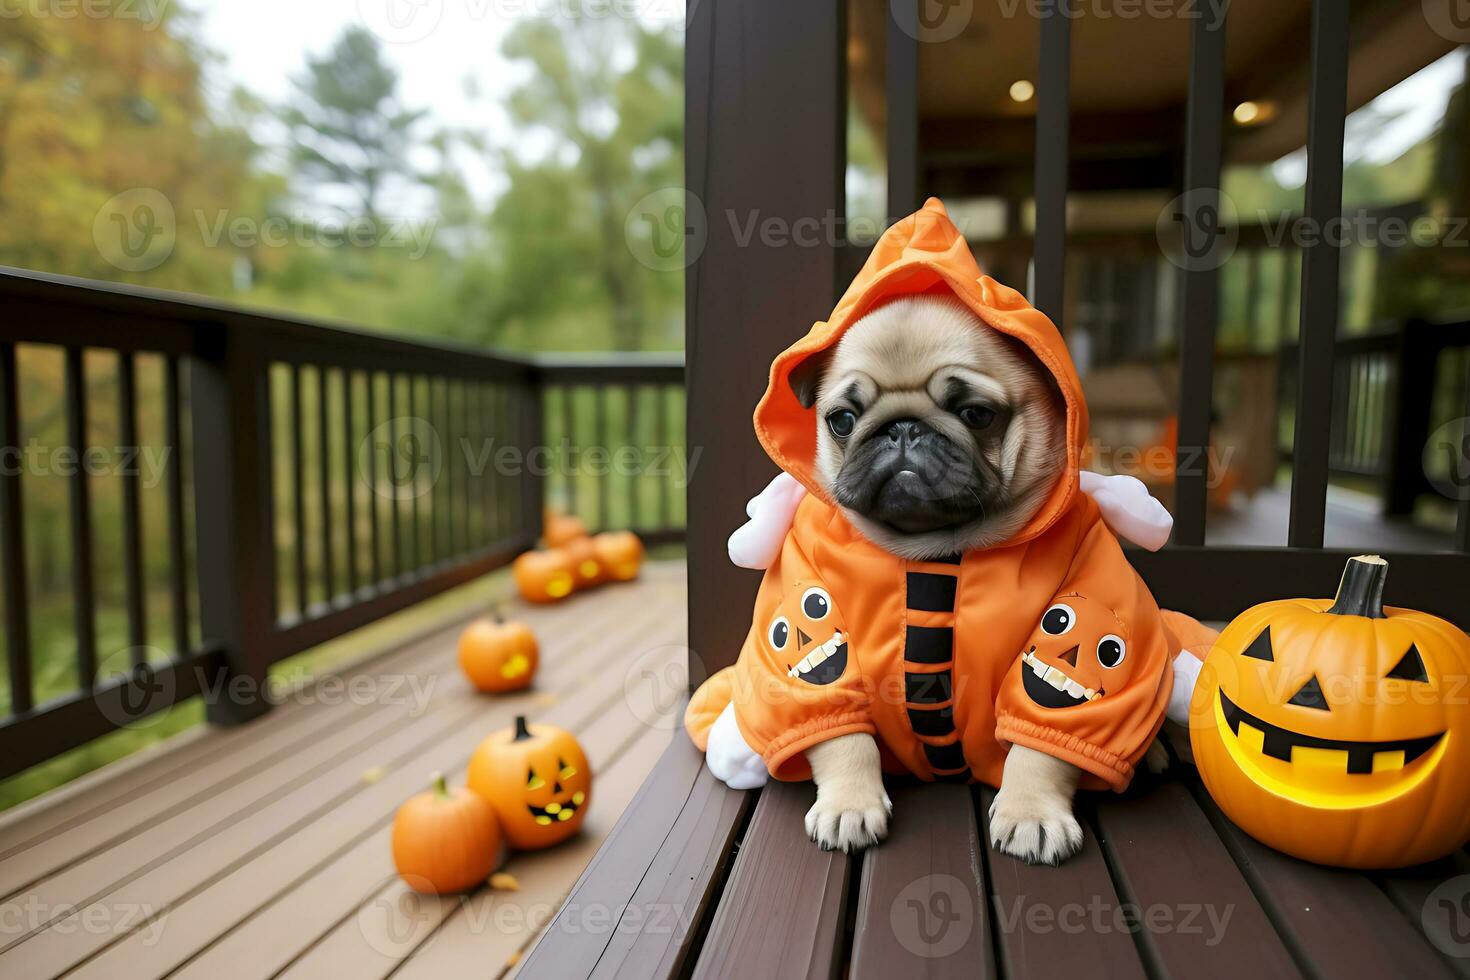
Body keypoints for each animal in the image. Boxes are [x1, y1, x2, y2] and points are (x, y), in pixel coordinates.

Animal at [793, 293, 1093, 863]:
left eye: (976, 414)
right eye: (842, 420)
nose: (903, 427)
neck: (931, 548)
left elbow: (1043, 735)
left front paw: (1032, 813)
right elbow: (840, 730)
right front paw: (848, 804)